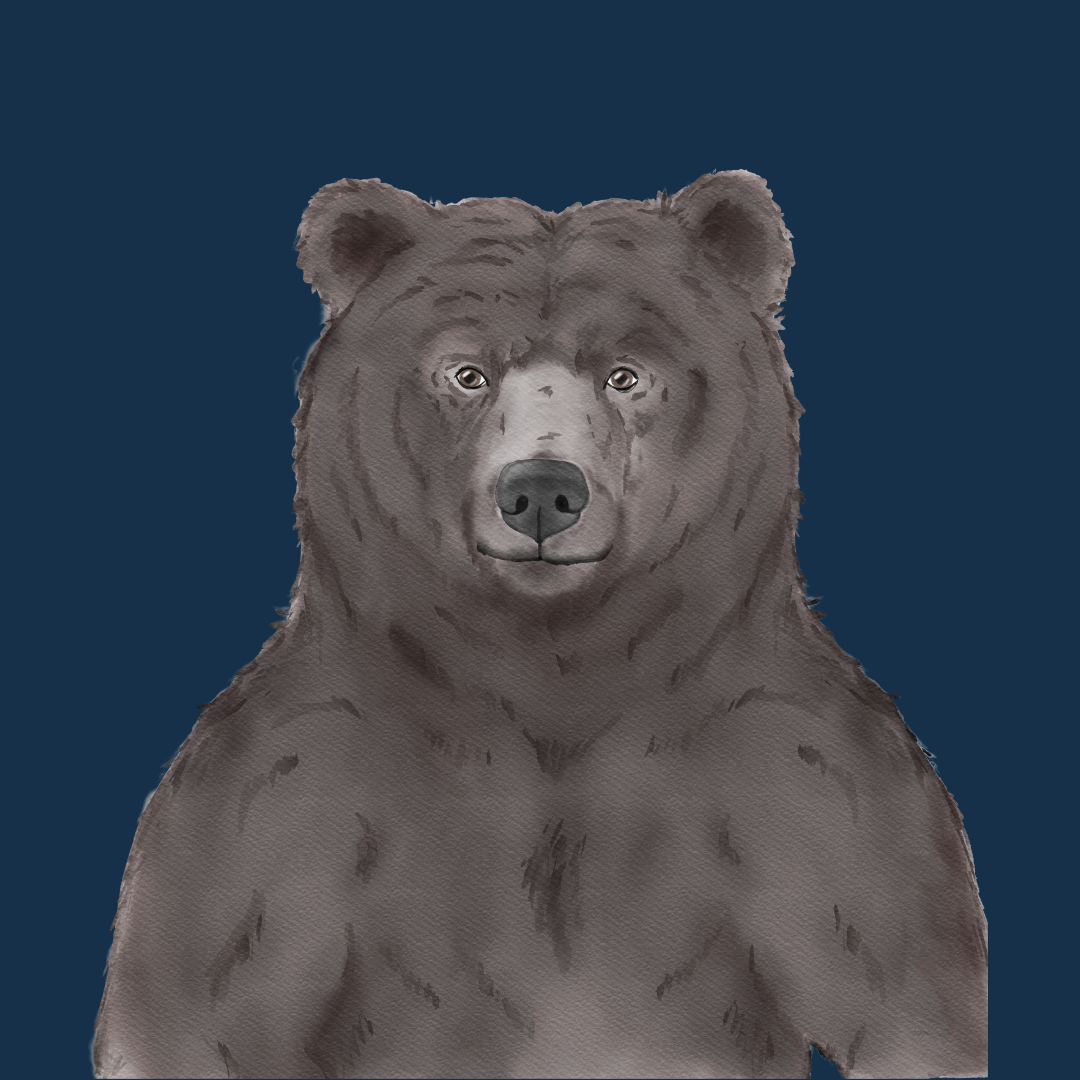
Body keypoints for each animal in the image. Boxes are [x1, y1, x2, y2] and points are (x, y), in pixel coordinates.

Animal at [92, 171, 987, 1079]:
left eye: (626, 374)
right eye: (466, 372)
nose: (541, 492)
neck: (553, 668)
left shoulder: (800, 772)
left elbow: (900, 990)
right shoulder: (293, 787)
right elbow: (202, 1001)